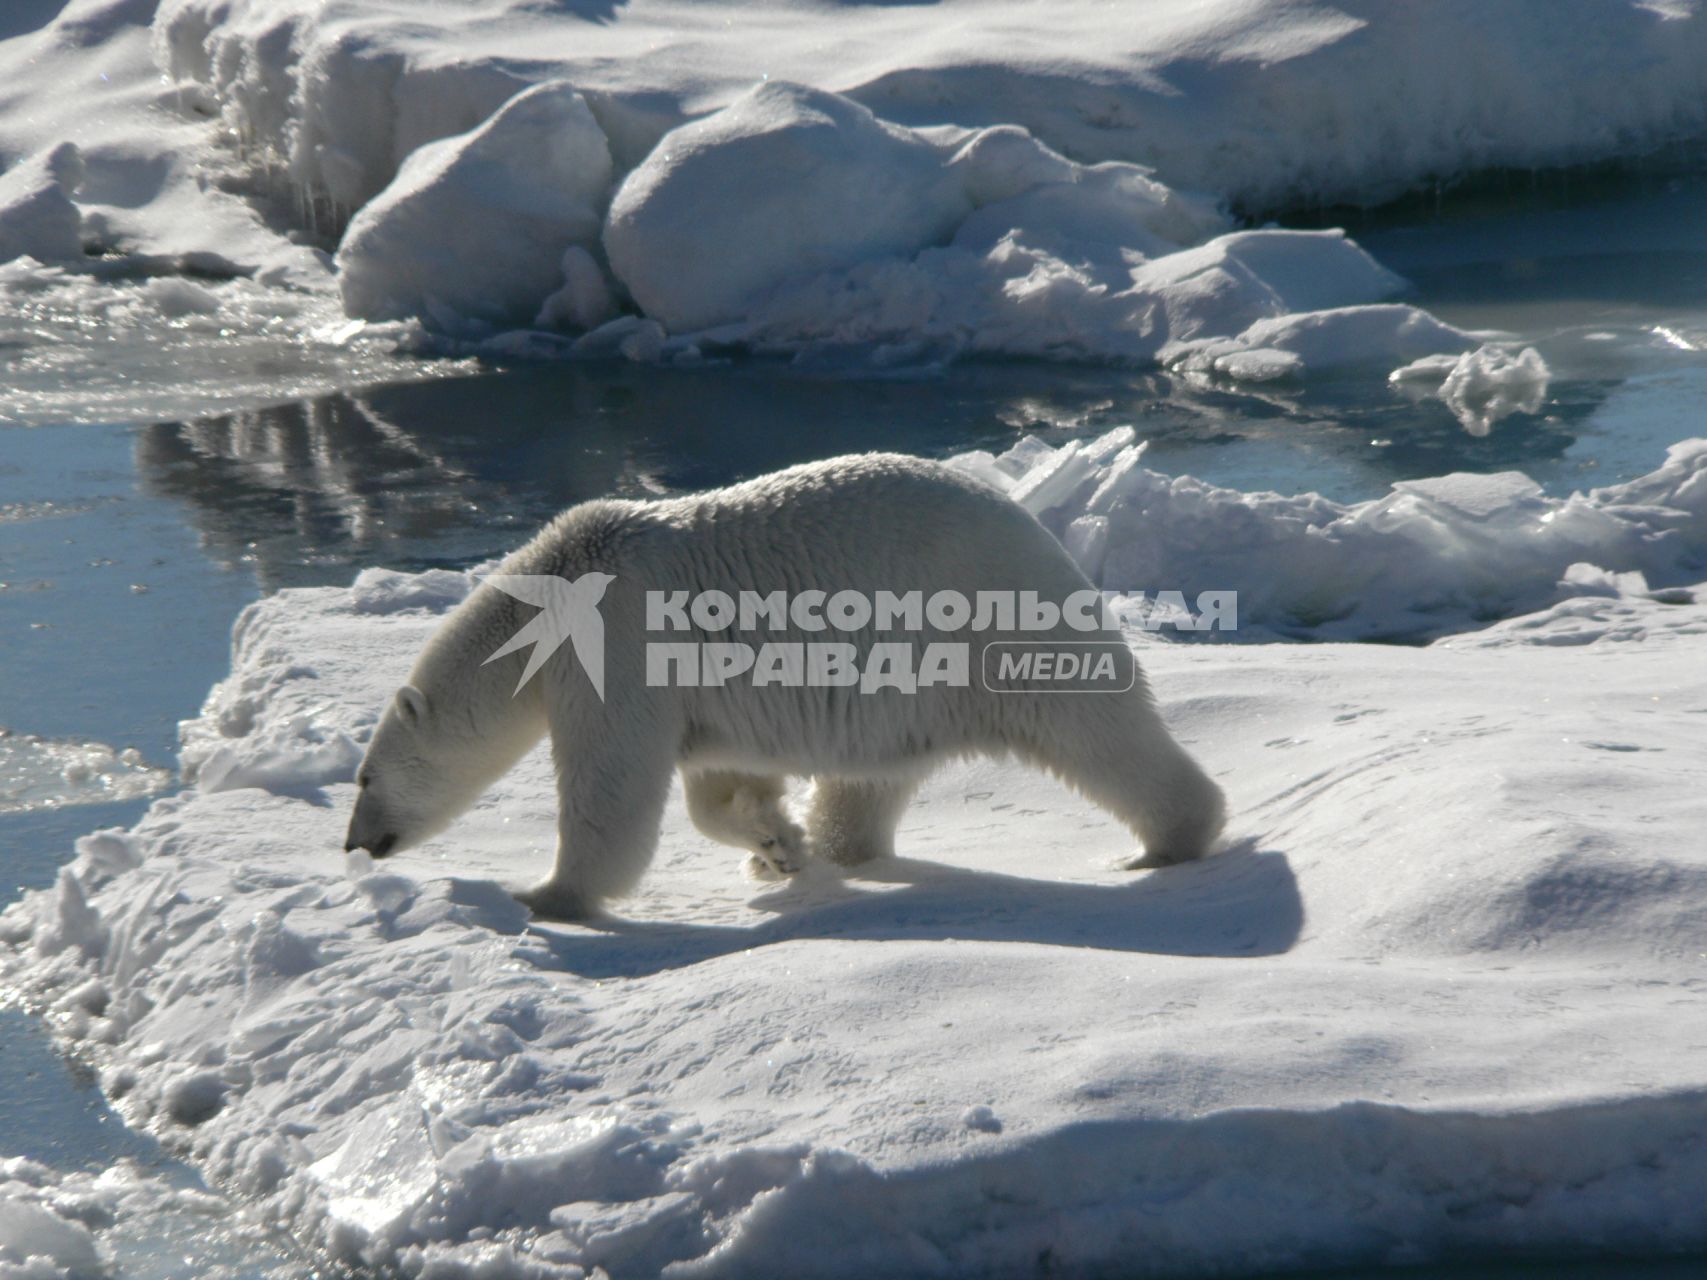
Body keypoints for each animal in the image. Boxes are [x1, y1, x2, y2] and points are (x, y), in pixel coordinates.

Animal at [346, 457, 1229, 914]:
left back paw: (1171, 840)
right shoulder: (696, 688)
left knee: (1094, 727)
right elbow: (718, 781)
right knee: (870, 775)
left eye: (361, 777)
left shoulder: (617, 645)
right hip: (906, 685)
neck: (556, 587)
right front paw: (777, 846)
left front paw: (543, 897)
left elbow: (611, 789)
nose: (355, 843)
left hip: (988, 621)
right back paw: (840, 847)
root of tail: (1035, 524)